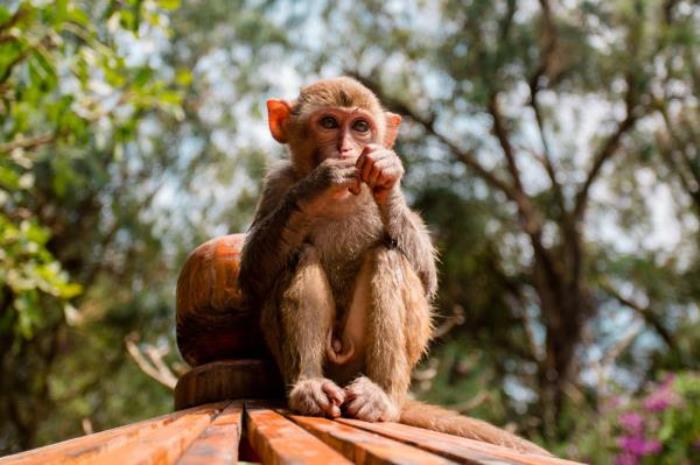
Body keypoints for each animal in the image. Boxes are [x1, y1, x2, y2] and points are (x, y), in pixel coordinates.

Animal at [238, 76, 548, 454]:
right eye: (328, 123)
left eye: (360, 127)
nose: (345, 150)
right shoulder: (278, 183)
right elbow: (252, 275)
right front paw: (318, 183)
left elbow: (427, 277)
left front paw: (387, 177)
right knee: (301, 254)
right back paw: (309, 387)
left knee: (389, 256)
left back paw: (380, 396)